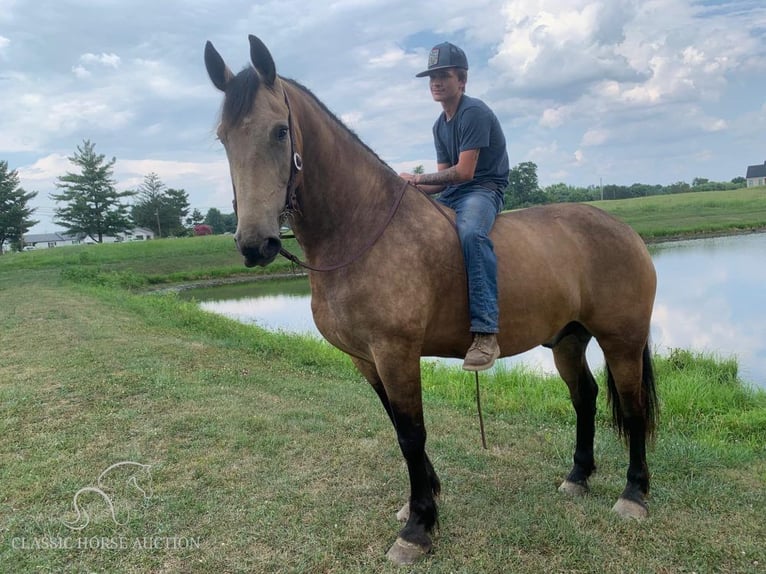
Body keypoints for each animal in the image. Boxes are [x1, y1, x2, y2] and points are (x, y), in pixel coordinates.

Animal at [204, 36, 660, 568]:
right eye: (222, 137)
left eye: (280, 131)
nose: (255, 245)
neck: (361, 229)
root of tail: (627, 231)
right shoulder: (366, 358)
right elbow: (398, 429)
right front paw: (423, 501)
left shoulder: (396, 352)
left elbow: (411, 433)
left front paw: (419, 528)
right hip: (568, 339)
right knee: (584, 397)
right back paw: (578, 477)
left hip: (621, 340)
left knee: (632, 407)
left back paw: (633, 495)